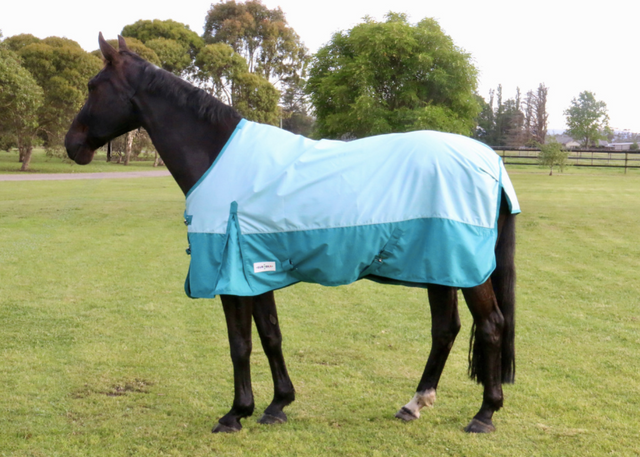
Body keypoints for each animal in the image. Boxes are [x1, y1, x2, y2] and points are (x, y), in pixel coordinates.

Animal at [65, 34, 518, 434]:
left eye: (93, 86)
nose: (72, 145)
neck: (218, 156)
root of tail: (490, 162)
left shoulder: (232, 277)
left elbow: (240, 344)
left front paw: (235, 414)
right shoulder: (254, 270)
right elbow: (270, 335)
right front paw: (277, 405)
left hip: (466, 270)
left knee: (491, 325)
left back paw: (485, 414)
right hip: (440, 268)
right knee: (446, 329)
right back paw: (414, 404)